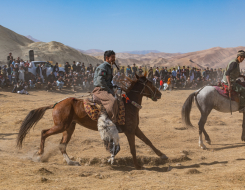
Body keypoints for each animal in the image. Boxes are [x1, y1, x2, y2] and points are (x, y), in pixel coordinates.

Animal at [16, 74, 167, 169]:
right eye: (151, 83)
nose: (160, 94)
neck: (128, 104)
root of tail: (56, 104)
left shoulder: (135, 129)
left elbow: (148, 141)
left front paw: (162, 155)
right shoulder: (130, 131)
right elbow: (133, 148)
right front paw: (137, 165)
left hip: (69, 128)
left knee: (62, 145)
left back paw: (71, 162)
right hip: (61, 126)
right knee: (44, 132)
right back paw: (39, 155)